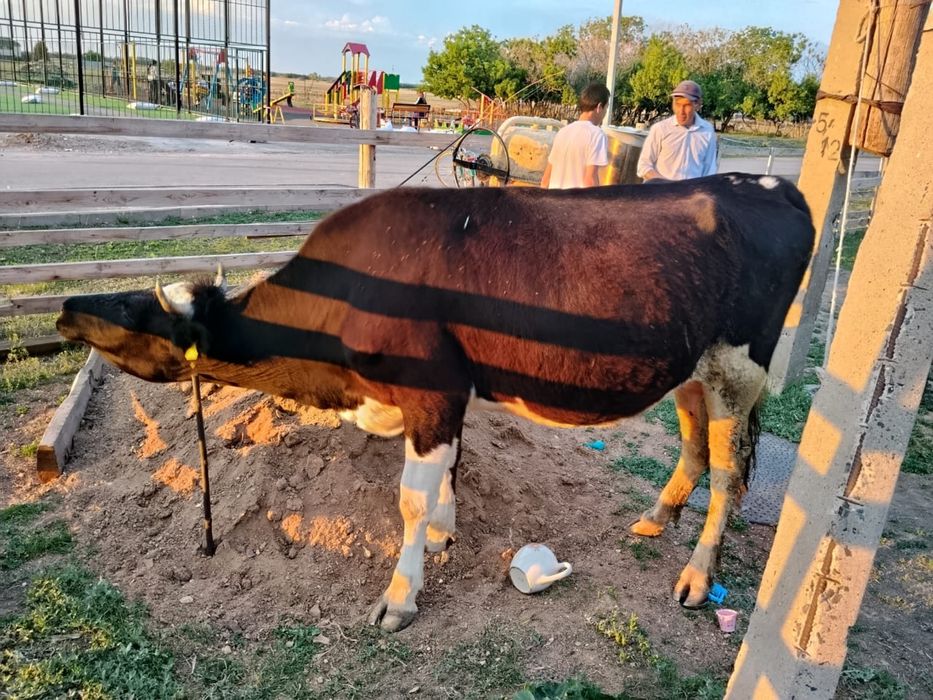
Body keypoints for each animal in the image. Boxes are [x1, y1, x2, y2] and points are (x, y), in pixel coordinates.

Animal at [56, 173, 814, 632]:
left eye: (130, 310)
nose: (65, 309)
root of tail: (768, 184)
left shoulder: (430, 393)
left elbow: (411, 500)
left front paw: (400, 595)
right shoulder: (445, 398)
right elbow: (445, 481)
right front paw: (447, 534)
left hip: (737, 368)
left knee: (731, 475)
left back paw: (696, 577)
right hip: (690, 368)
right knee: (693, 444)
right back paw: (657, 517)